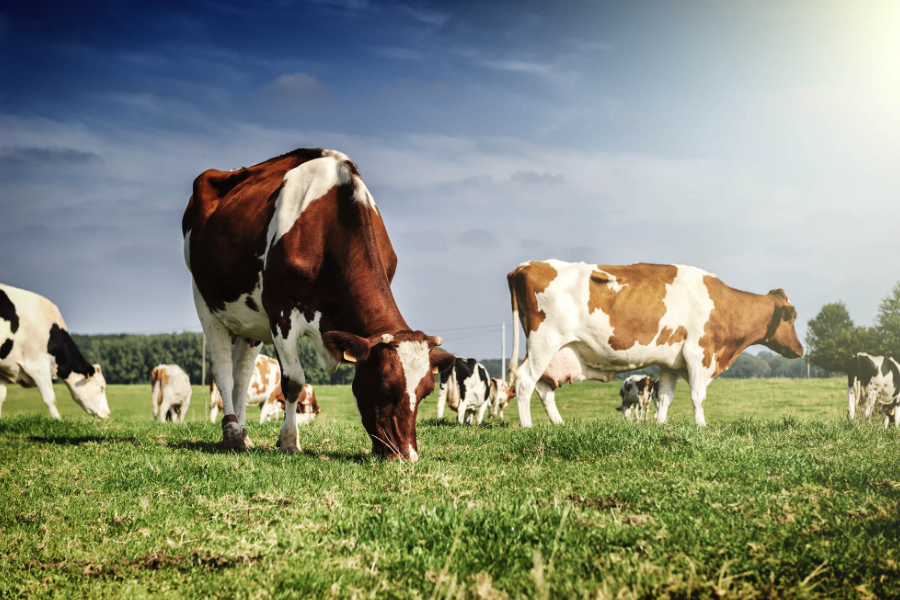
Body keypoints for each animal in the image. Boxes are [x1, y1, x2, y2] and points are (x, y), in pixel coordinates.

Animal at [0, 284, 110, 420]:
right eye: (102, 387)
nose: (108, 413)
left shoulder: (4, 369)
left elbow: (1, 397)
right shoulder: (38, 365)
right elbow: (50, 397)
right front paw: (58, 420)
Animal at [183, 148, 454, 458]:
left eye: (426, 391)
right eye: (385, 387)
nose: (407, 456)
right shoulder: (281, 311)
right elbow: (293, 381)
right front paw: (289, 441)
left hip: (250, 321)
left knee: (242, 374)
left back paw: (243, 434)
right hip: (205, 300)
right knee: (223, 371)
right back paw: (232, 432)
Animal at [502, 262, 804, 426]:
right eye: (792, 317)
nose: (801, 349)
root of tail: (526, 266)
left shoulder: (670, 362)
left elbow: (665, 398)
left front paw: (660, 425)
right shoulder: (699, 354)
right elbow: (698, 397)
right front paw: (702, 427)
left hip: (556, 352)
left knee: (544, 388)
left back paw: (559, 424)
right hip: (544, 342)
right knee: (525, 382)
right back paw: (527, 427)